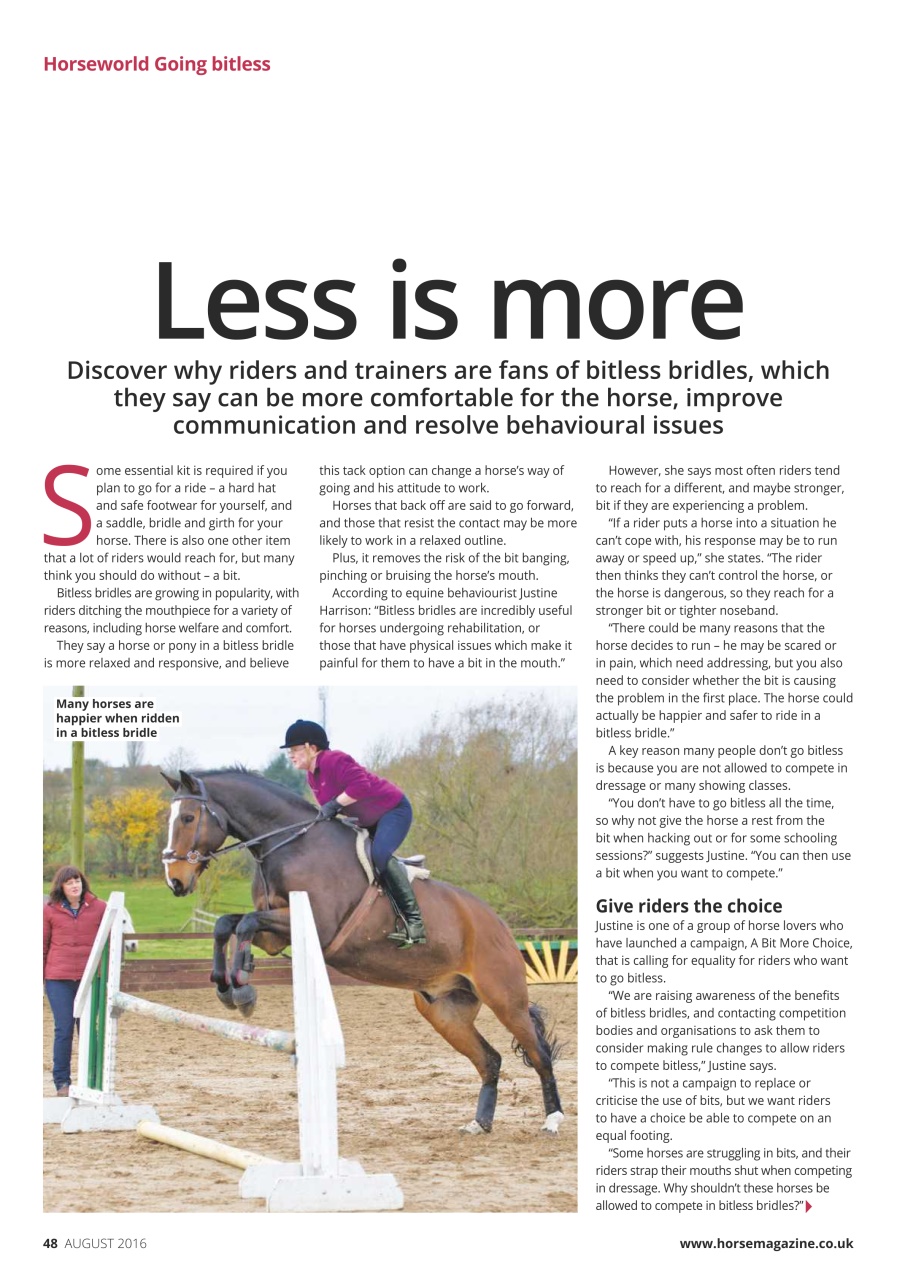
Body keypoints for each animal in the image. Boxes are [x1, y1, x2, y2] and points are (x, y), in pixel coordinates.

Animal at [161, 769, 564, 1136]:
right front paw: (226, 985)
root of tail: (500, 926)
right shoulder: (276, 935)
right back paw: (479, 1123)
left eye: (188, 817)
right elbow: (226, 924)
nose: (175, 881)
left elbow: (242, 924)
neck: (290, 844)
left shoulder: (315, 926)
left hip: (503, 999)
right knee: (490, 1060)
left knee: (539, 1055)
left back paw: (553, 1119)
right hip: (445, 1010)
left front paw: (242, 987)